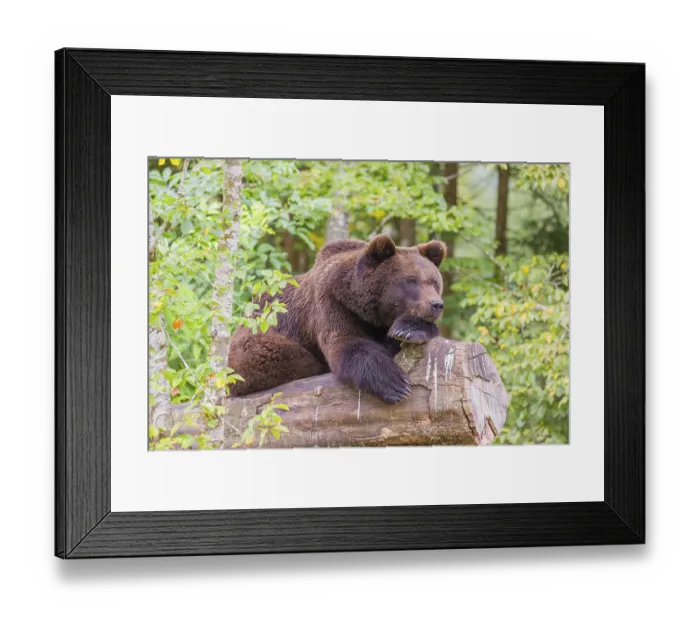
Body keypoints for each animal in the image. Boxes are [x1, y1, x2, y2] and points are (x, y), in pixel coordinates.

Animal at [227, 235, 446, 404]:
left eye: (434, 281)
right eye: (411, 281)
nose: (436, 304)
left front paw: (408, 330)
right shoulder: (332, 304)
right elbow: (347, 344)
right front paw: (395, 384)